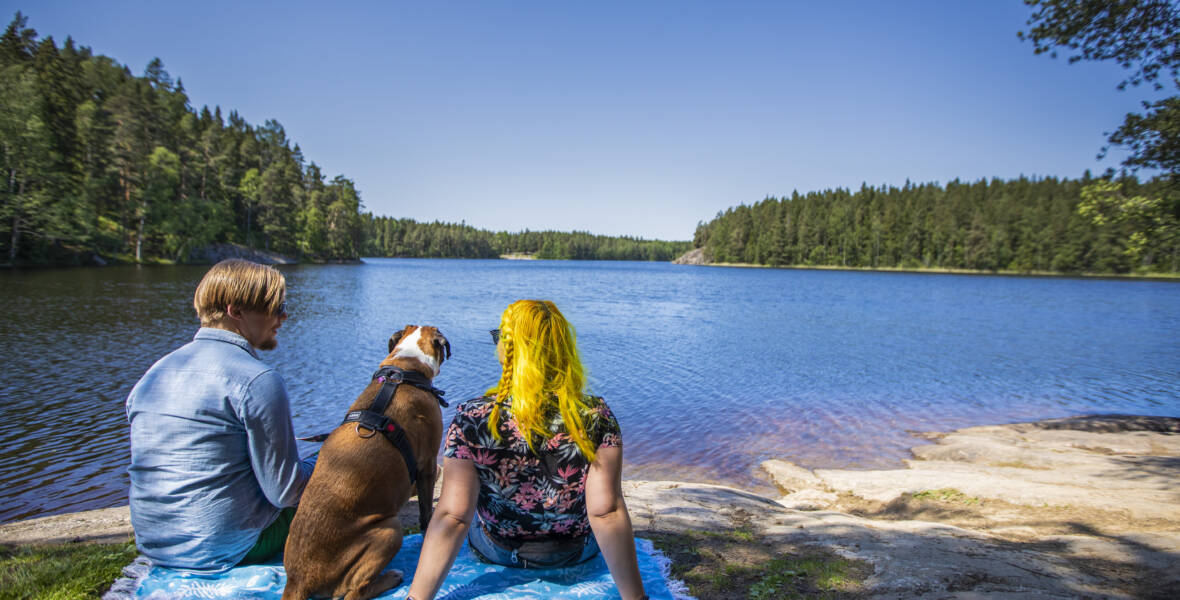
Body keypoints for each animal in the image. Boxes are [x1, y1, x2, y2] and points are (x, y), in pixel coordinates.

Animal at [280, 325, 450, 600]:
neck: (404, 368)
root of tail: (298, 580)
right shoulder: (427, 466)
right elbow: (426, 512)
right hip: (390, 530)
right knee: (352, 592)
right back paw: (390, 577)